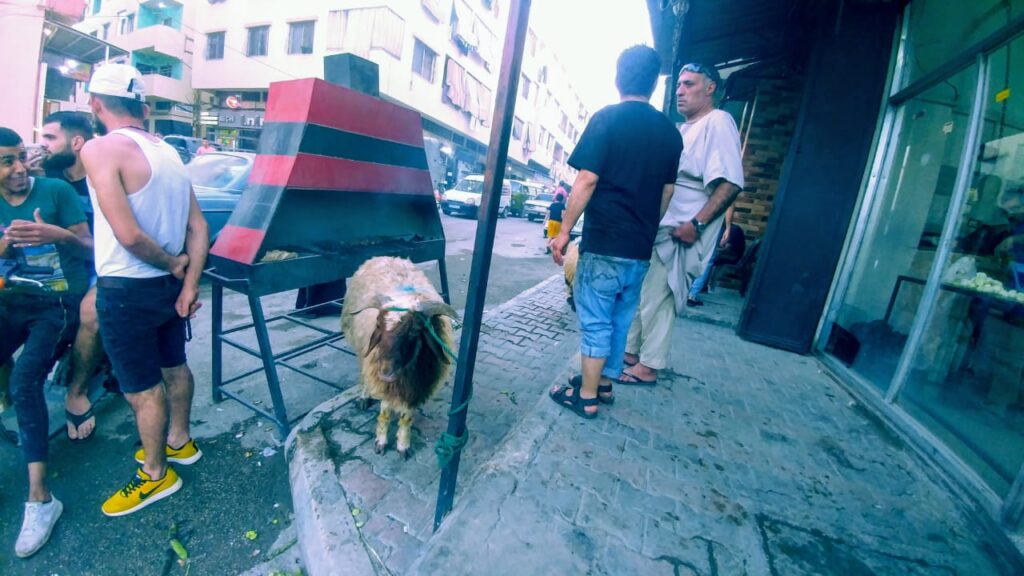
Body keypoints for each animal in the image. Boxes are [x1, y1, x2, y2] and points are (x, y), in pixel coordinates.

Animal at [342, 255, 458, 457]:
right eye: (378, 325)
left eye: (415, 331)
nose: (386, 373)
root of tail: (385, 257)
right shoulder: (385, 381)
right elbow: (385, 413)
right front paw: (381, 442)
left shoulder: (415, 386)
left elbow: (406, 418)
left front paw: (403, 445)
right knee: (363, 374)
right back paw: (364, 396)